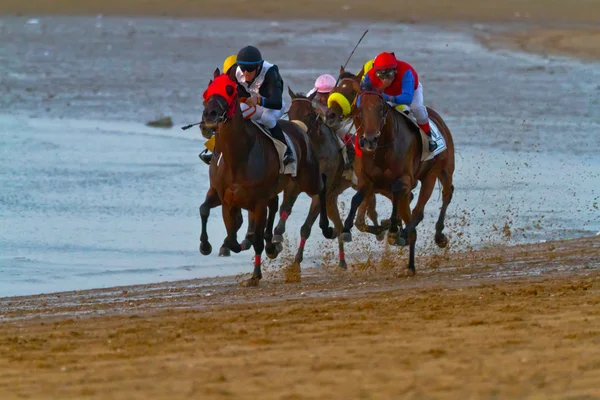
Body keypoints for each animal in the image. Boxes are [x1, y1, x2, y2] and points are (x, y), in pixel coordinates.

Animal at [200, 70, 332, 286]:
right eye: (207, 91)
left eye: (229, 90)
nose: (209, 115)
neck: (237, 155)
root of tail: (299, 127)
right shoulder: (226, 199)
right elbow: (231, 233)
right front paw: (212, 245)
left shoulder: (258, 201)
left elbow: (255, 238)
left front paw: (255, 275)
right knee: (275, 205)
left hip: (307, 178)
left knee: (321, 187)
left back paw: (326, 227)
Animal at [286, 88, 380, 270]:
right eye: (289, 112)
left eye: (309, 114)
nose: (297, 133)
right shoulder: (296, 187)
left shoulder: (320, 192)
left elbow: (306, 227)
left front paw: (296, 262)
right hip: (333, 197)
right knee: (342, 222)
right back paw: (343, 259)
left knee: (370, 209)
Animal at [328, 70, 454, 276]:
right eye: (360, 108)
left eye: (381, 108)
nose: (369, 139)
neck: (382, 148)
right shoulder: (367, 181)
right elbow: (356, 201)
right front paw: (346, 228)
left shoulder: (405, 179)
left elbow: (398, 194)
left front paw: (394, 229)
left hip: (439, 171)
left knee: (440, 197)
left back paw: (434, 237)